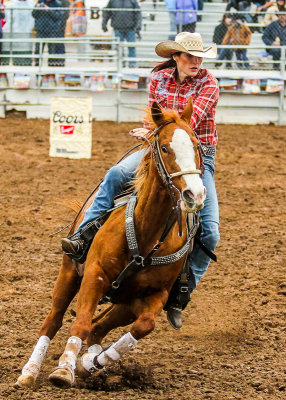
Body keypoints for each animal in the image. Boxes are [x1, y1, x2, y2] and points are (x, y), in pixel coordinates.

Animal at [15, 97, 206, 390]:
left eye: (197, 146)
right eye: (164, 147)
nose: (194, 194)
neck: (146, 235)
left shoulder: (155, 295)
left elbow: (143, 326)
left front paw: (88, 364)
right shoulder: (94, 275)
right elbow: (80, 324)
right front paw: (64, 370)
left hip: (124, 304)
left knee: (98, 327)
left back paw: (90, 362)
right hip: (69, 273)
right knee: (54, 321)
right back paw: (29, 371)